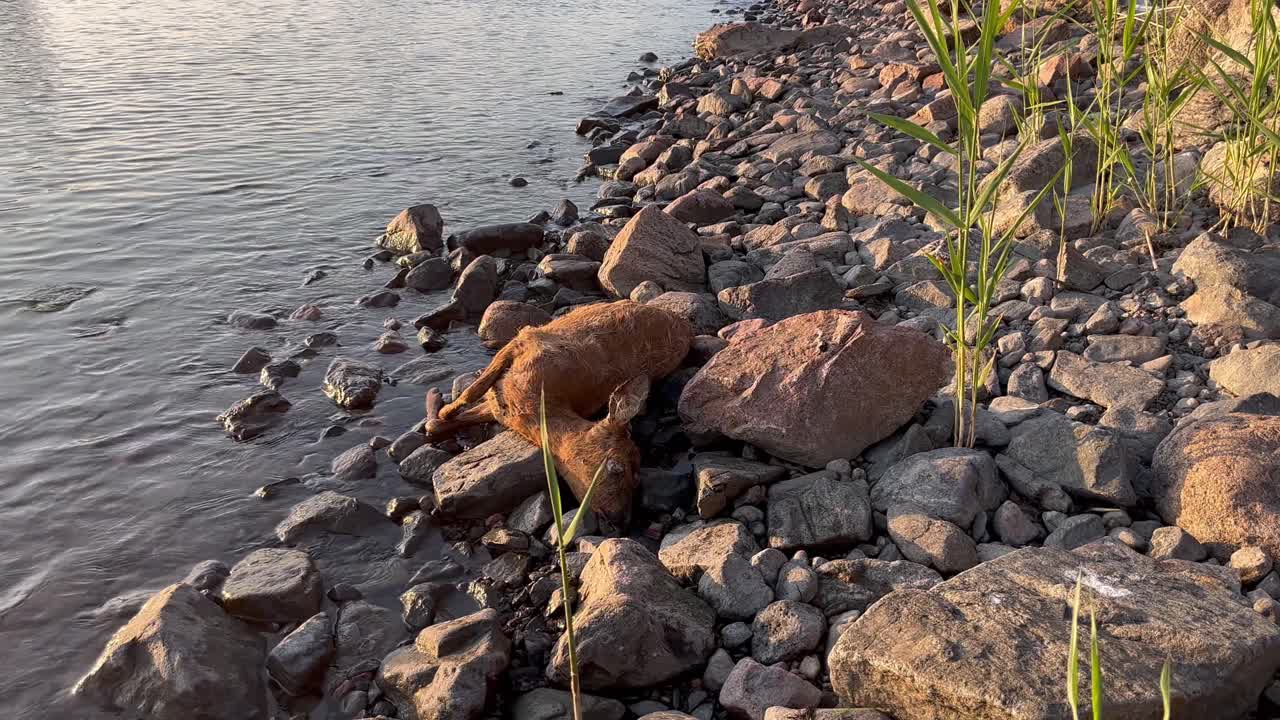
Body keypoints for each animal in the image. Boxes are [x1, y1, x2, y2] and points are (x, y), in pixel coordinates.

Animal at [425, 300, 694, 526]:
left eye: (638, 478)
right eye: (617, 468)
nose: (621, 520)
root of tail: (684, 325)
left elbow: (440, 421)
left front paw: (440, 405)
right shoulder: (526, 339)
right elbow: (469, 394)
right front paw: (443, 405)